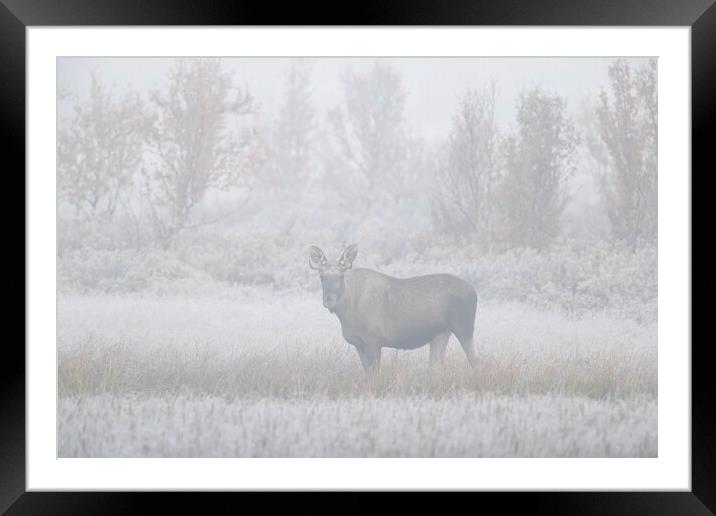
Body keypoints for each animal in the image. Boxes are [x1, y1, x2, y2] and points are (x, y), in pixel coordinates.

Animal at [310, 245, 478, 374]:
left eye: (340, 276)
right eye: (322, 277)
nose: (329, 300)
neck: (346, 312)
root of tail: (474, 291)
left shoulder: (374, 340)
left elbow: (374, 374)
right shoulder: (358, 343)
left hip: (464, 329)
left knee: (475, 361)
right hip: (441, 333)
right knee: (437, 367)